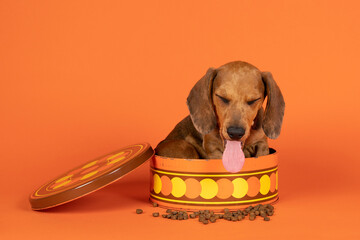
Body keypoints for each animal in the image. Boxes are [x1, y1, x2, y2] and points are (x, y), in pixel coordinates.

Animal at [156, 60, 286, 161]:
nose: (235, 133)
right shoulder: (213, 148)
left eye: (253, 100)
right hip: (184, 147)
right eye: (222, 97)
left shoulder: (262, 145)